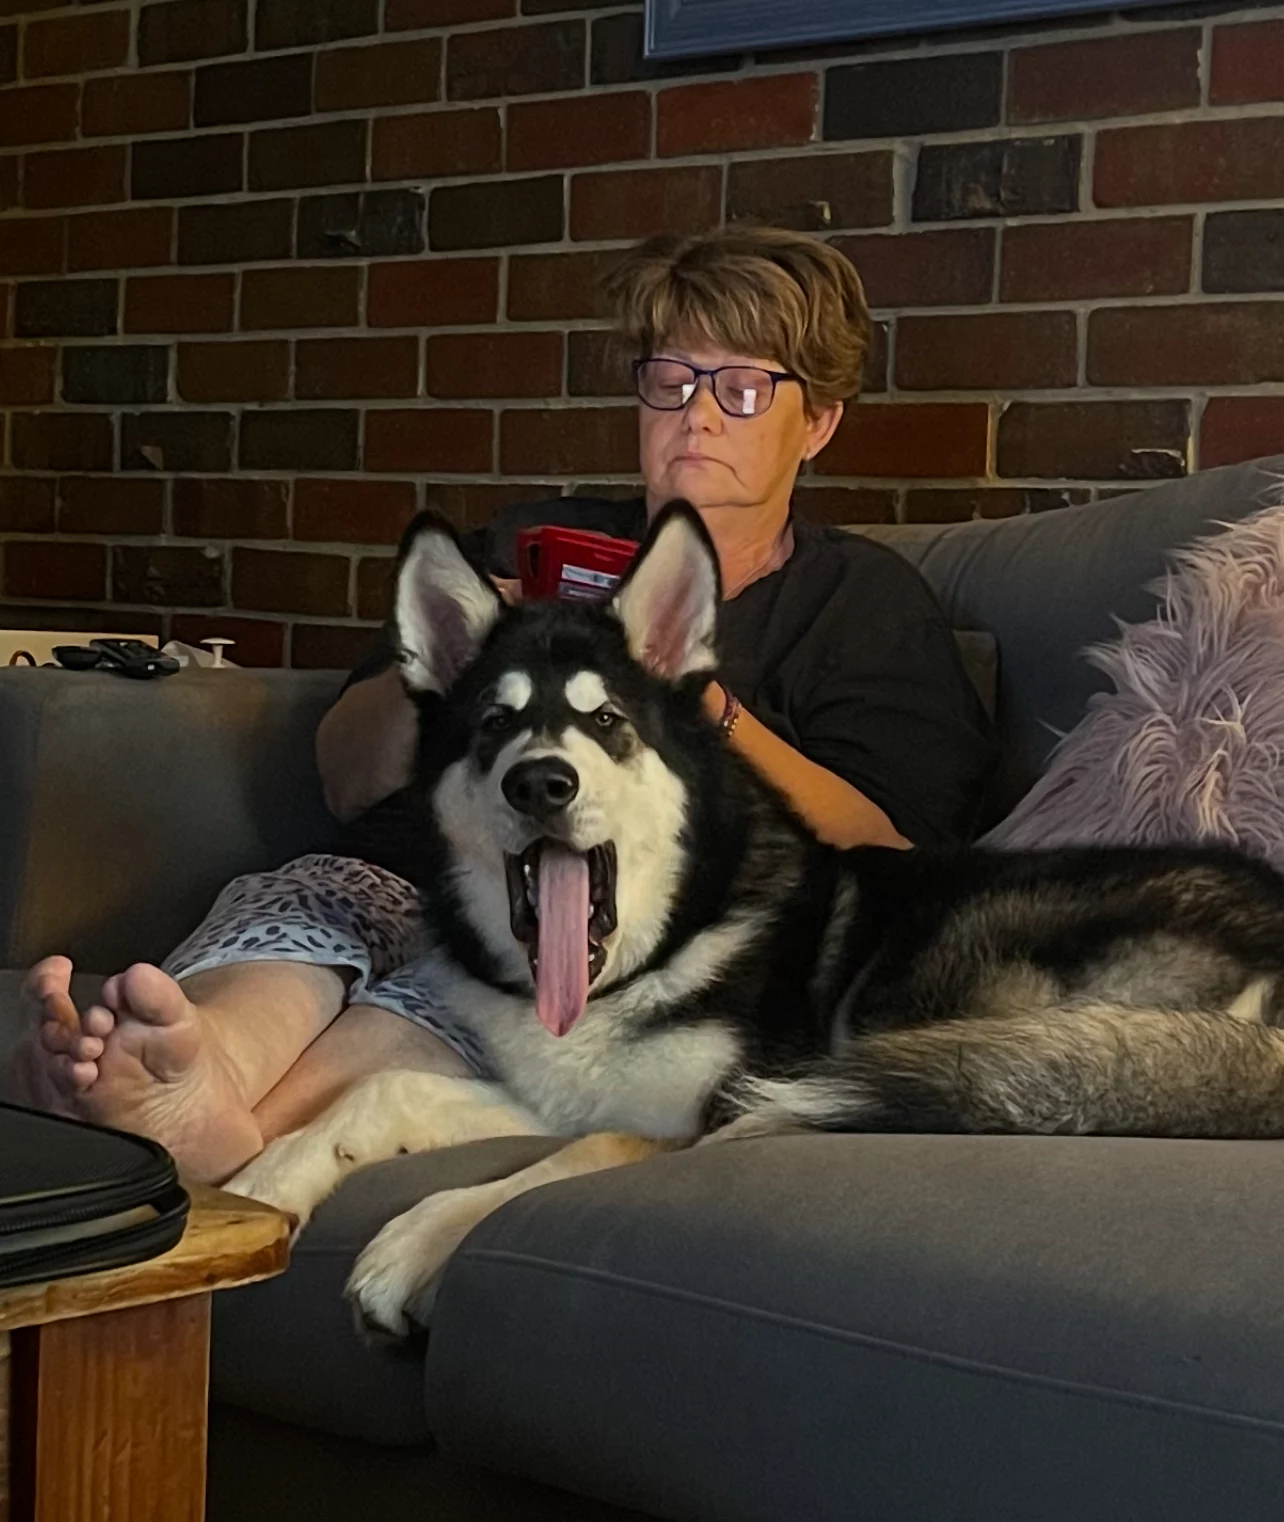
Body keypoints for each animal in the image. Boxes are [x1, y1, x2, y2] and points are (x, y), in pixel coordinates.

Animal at [229, 501, 1284, 1337]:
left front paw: (415, 1239)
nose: (541, 783)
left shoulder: (683, 1116)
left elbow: (560, 1162)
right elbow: (385, 1090)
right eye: (494, 724)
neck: (648, 953)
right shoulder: (558, 1094)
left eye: (607, 722)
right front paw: (262, 1184)